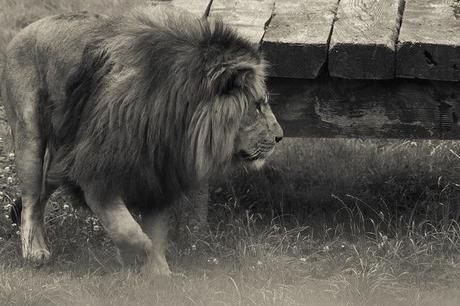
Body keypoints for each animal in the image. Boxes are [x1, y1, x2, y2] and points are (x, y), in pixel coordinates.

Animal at [0, 5, 284, 274]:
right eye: (257, 106)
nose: (280, 136)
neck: (175, 119)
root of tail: (25, 29)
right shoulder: (95, 172)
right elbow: (126, 227)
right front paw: (136, 251)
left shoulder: (156, 172)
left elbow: (155, 230)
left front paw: (158, 272)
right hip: (30, 137)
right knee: (31, 201)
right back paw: (34, 251)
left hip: (61, 155)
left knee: (40, 195)